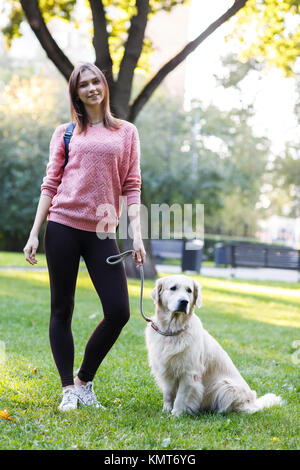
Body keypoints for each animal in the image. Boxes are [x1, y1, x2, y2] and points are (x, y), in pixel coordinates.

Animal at [145, 276, 284, 414]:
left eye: (189, 290)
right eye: (173, 288)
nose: (184, 302)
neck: (172, 331)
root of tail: (253, 402)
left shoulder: (189, 373)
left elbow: (181, 397)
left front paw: (176, 414)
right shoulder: (167, 370)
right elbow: (168, 394)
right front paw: (166, 411)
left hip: (225, 385)